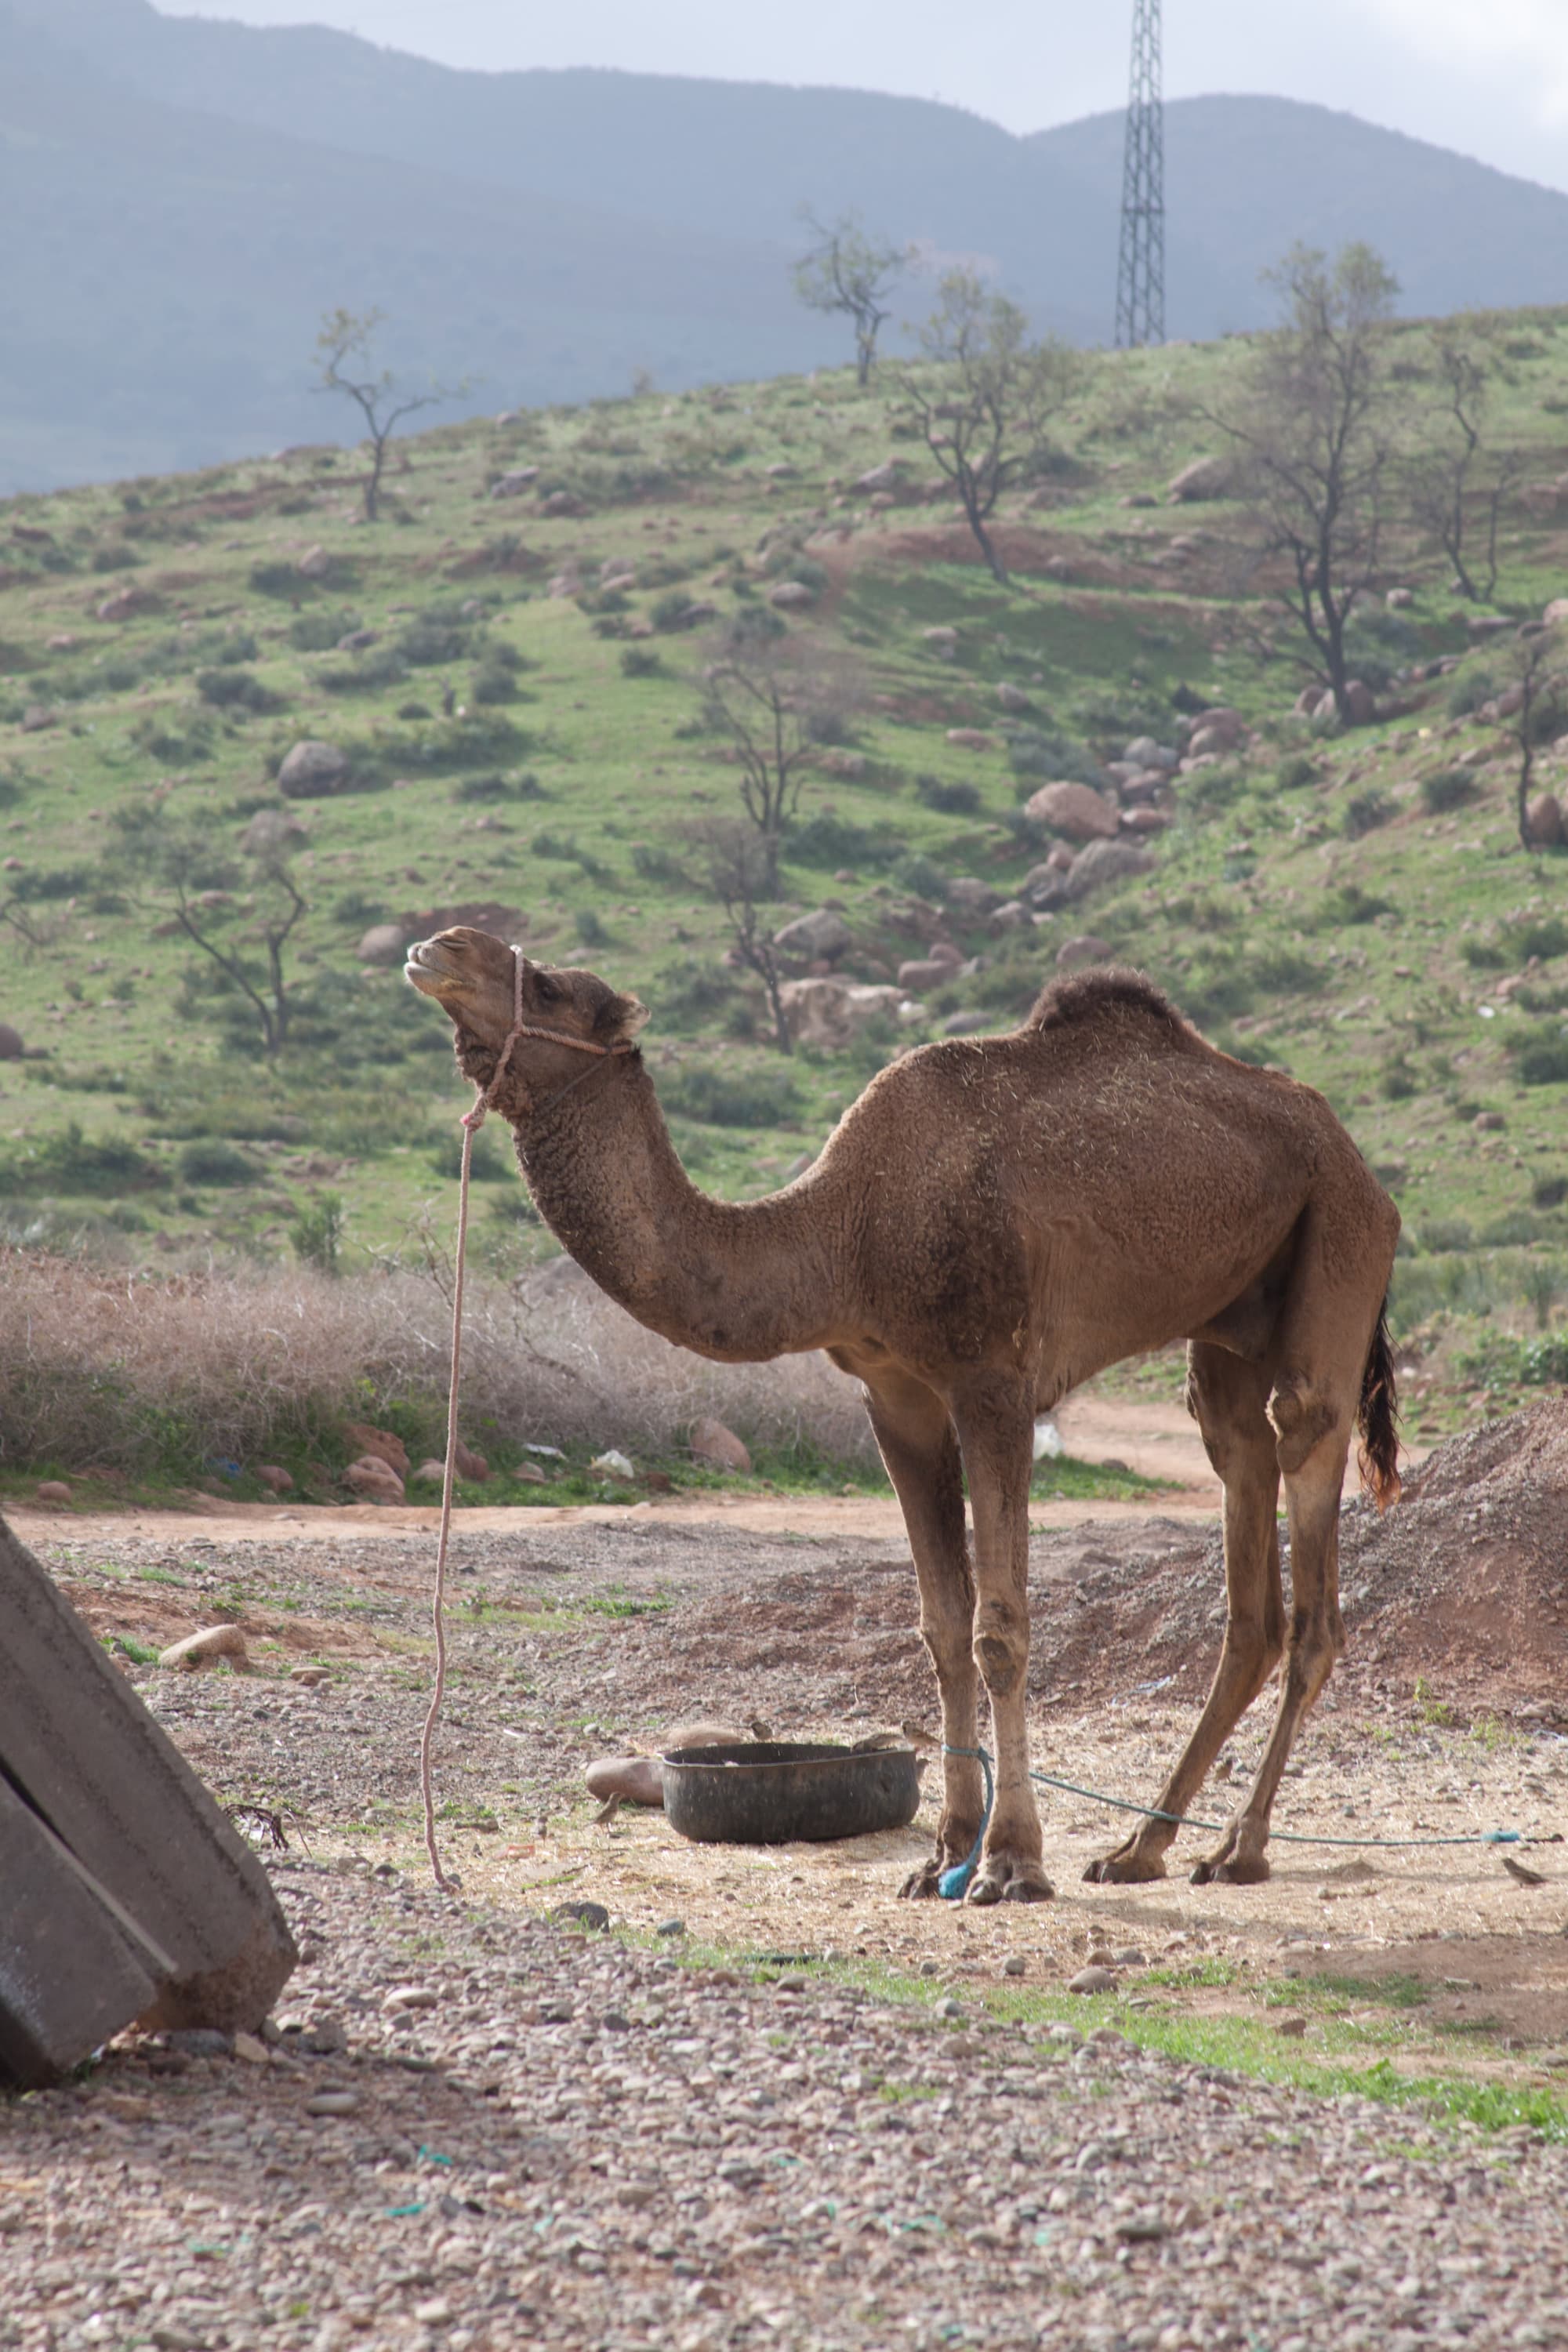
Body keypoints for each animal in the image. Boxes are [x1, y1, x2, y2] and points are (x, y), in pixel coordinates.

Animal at [406, 926, 1401, 1902]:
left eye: (545, 985)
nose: (438, 947)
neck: (844, 1234)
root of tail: (1355, 1156)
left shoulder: (992, 1379)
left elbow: (999, 1628)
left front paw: (1009, 1863)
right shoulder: (895, 1396)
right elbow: (941, 1628)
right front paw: (942, 1856)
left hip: (1338, 1236)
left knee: (1307, 1505)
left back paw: (1241, 1847)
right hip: (1229, 1323)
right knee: (1241, 1523)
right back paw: (1140, 1846)